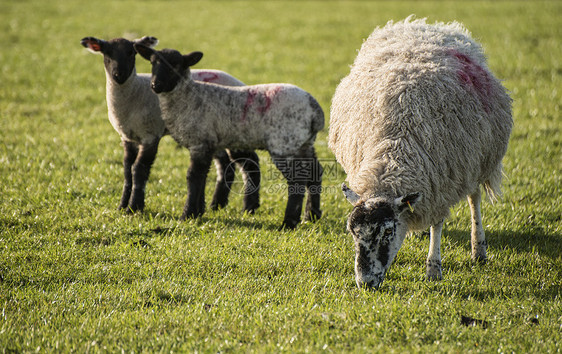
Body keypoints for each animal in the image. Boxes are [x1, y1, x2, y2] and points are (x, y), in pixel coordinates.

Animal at [80, 35, 260, 213]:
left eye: (131, 53)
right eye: (107, 54)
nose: (119, 75)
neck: (135, 93)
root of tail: (240, 83)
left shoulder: (151, 135)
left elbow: (139, 169)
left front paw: (134, 207)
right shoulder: (127, 137)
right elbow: (127, 169)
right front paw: (122, 205)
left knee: (249, 162)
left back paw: (249, 206)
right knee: (225, 163)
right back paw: (217, 204)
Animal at [133, 43, 322, 230]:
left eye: (176, 65)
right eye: (152, 62)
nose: (155, 85)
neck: (188, 97)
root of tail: (314, 108)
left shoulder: (200, 142)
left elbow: (193, 176)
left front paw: (187, 215)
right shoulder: (209, 144)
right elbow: (203, 176)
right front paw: (198, 211)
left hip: (284, 144)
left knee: (297, 180)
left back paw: (289, 222)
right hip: (304, 143)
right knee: (315, 172)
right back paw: (311, 215)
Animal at [328, 16, 512, 290]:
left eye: (388, 231)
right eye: (353, 232)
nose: (365, 283)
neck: (393, 151)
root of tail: (427, 26)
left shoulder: (442, 183)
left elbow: (438, 223)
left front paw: (433, 269)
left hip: (474, 161)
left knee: (474, 198)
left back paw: (478, 249)